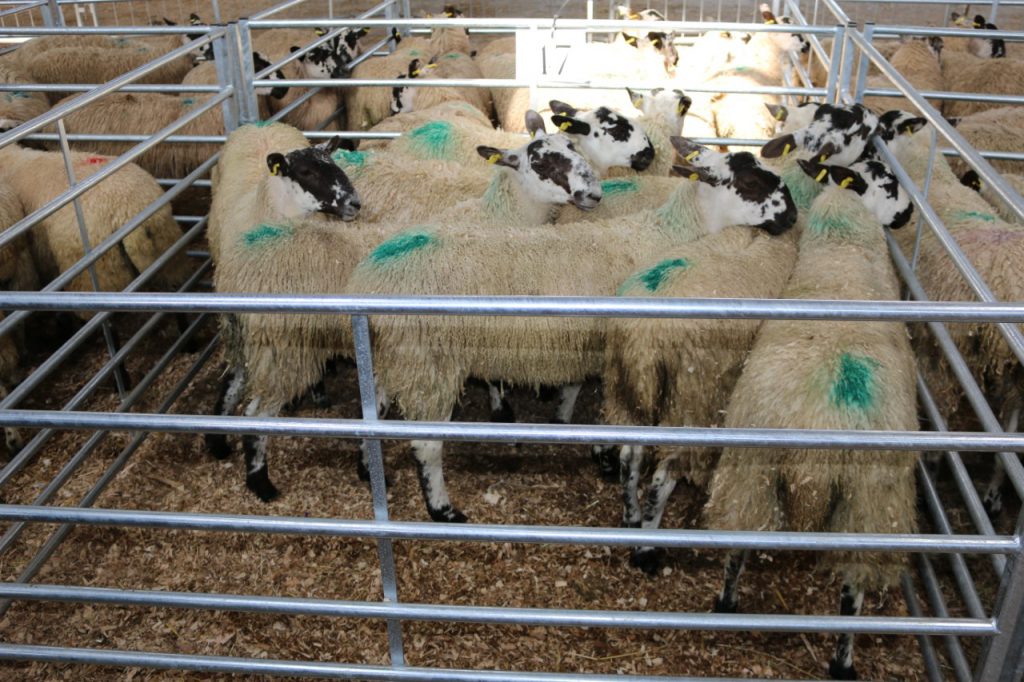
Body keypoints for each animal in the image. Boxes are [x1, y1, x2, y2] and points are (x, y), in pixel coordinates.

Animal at [211, 124, 608, 498]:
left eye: (572, 147)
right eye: (541, 162)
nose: (593, 194)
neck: (496, 218)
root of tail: (237, 265)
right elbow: (491, 379)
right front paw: (503, 416)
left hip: (253, 338)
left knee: (234, 380)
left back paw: (217, 441)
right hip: (284, 347)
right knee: (257, 412)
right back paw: (260, 480)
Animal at [343, 138, 796, 522]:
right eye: (750, 182)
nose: (792, 216)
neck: (666, 234)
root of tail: (372, 277)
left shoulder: (590, 346)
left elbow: (577, 390)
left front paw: (569, 424)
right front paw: (605, 455)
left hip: (399, 354)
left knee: (376, 404)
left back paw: (369, 468)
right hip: (430, 363)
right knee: (425, 444)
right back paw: (444, 510)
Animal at [703, 159, 918, 682]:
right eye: (887, 183)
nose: (910, 214)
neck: (842, 254)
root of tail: (813, 452)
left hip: (749, 476)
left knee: (737, 542)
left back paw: (725, 604)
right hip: (870, 503)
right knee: (852, 589)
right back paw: (843, 661)